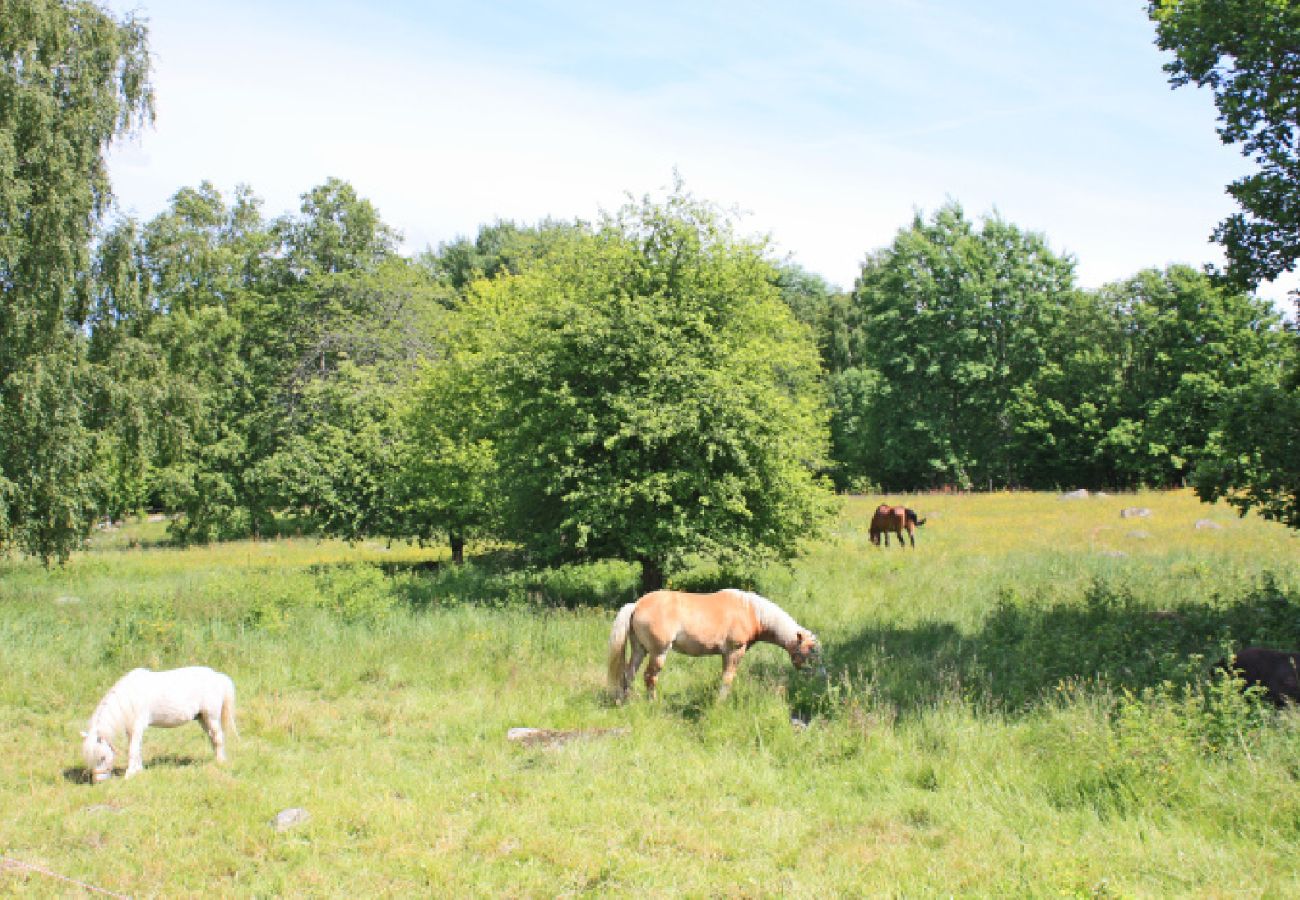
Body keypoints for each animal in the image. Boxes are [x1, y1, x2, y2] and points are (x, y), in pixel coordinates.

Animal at [81, 663, 236, 785]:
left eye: (102, 757)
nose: (98, 782)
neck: (130, 698)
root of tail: (218, 676)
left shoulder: (138, 727)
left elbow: (132, 750)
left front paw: (129, 775)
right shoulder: (131, 729)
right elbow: (137, 749)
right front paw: (139, 770)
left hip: (211, 717)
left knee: (218, 738)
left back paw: (220, 762)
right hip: (202, 718)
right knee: (212, 738)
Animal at [603, 587, 816, 707]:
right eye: (809, 650)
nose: (810, 673)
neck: (751, 611)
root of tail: (637, 604)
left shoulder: (725, 655)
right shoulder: (734, 652)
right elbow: (728, 678)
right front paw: (720, 703)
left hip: (640, 650)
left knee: (629, 673)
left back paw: (626, 701)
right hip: (658, 652)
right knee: (649, 677)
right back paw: (652, 704)